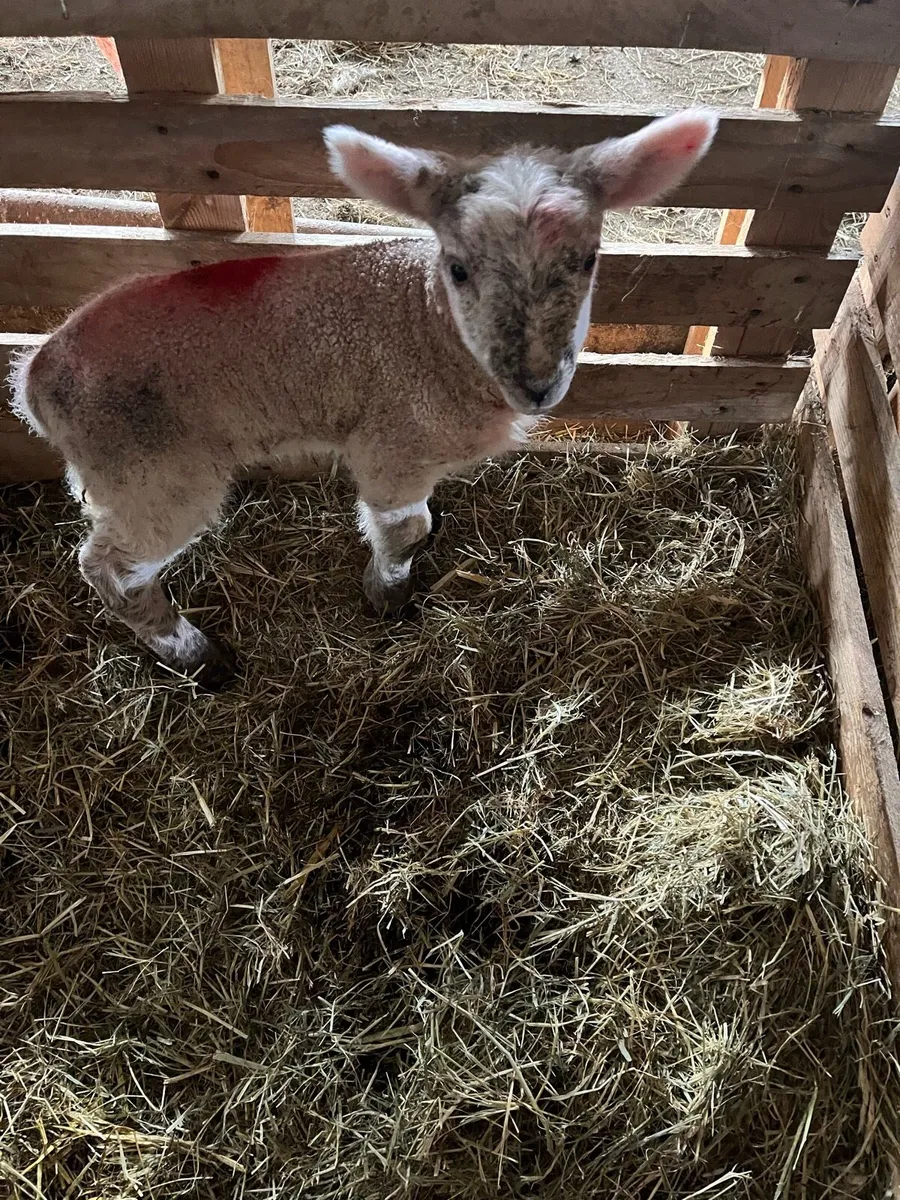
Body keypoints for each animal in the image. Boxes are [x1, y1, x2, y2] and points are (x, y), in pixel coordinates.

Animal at [10, 109, 717, 688]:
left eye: (590, 259)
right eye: (458, 268)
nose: (537, 384)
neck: (430, 327)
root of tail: (37, 372)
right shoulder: (392, 441)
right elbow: (403, 528)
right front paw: (390, 599)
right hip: (152, 467)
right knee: (111, 567)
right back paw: (196, 656)